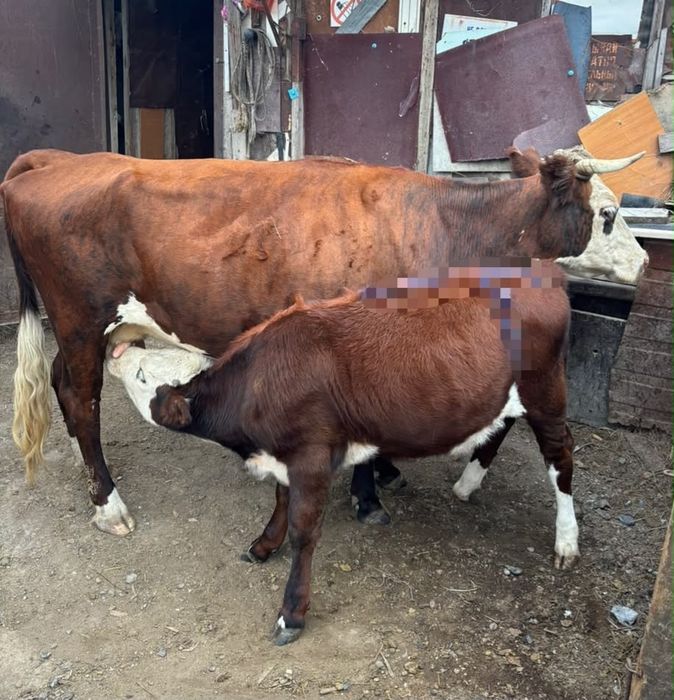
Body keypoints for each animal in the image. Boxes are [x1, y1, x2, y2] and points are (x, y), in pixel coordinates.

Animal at [2, 146, 641, 536]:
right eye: (608, 214)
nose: (643, 264)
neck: (445, 225)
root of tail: (58, 160)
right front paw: (368, 496)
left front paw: (384, 477)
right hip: (80, 320)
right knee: (81, 399)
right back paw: (108, 503)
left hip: (90, 328)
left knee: (63, 384)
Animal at [106, 260, 577, 645]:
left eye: (144, 375)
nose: (118, 352)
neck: (258, 382)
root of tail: (539, 270)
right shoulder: (287, 454)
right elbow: (280, 500)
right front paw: (264, 544)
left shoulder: (312, 455)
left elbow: (304, 531)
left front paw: (291, 614)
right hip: (507, 391)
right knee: (501, 424)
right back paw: (468, 483)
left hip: (546, 389)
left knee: (561, 455)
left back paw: (566, 540)